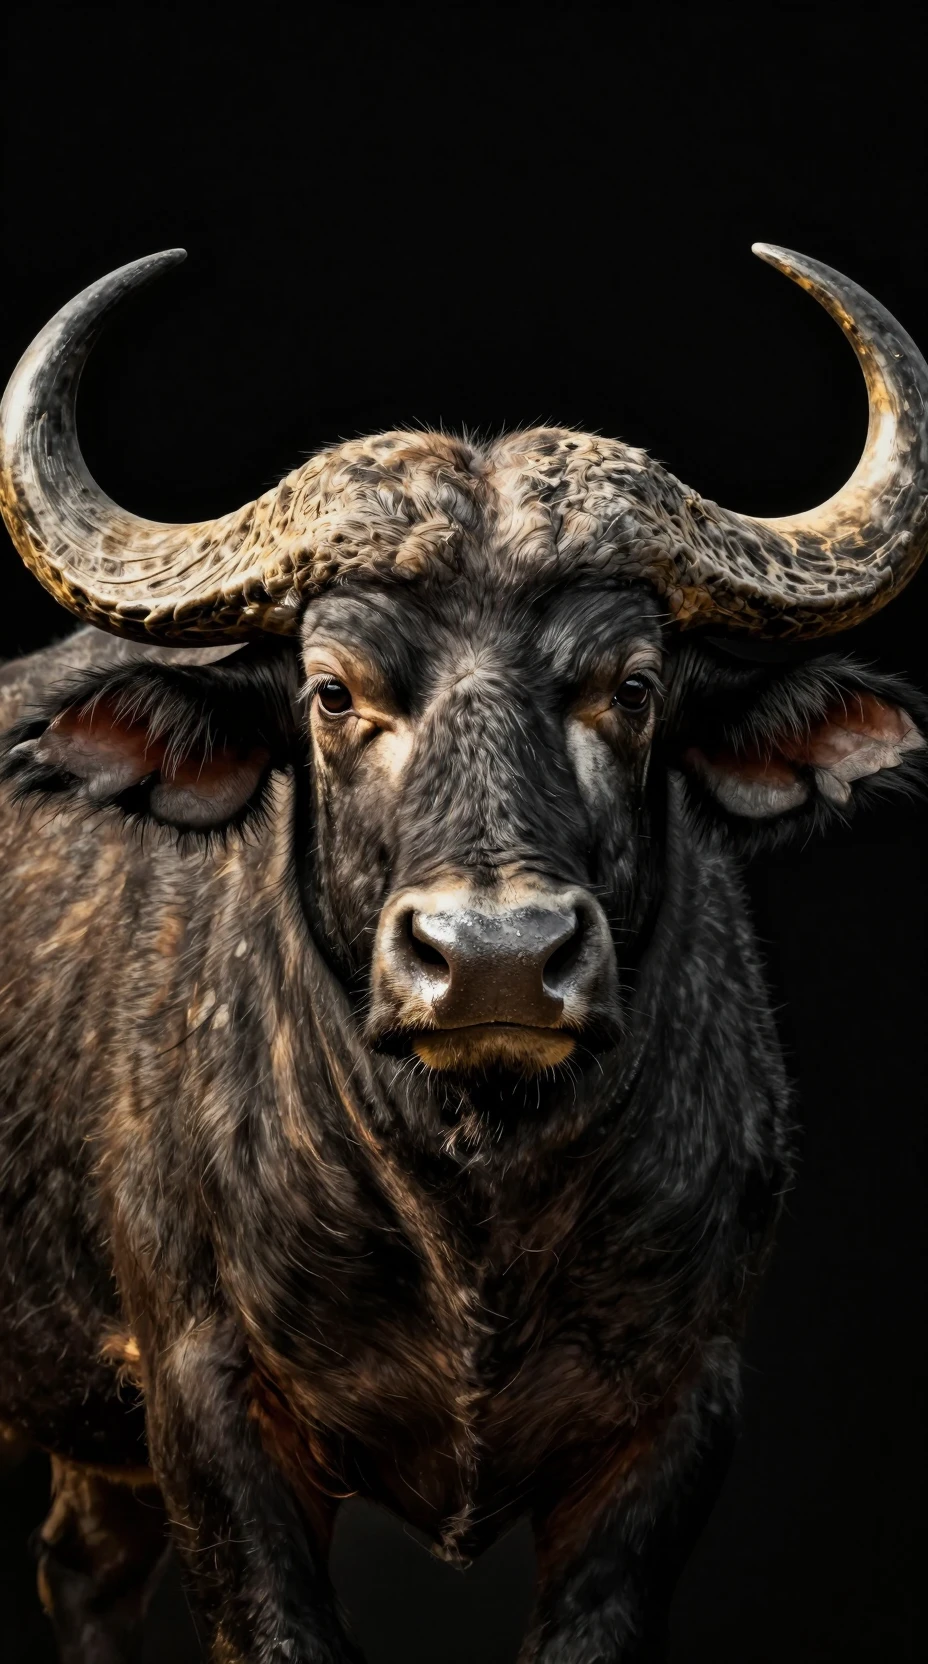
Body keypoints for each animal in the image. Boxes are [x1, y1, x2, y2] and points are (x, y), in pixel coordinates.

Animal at [0, 245, 925, 1663]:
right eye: (333, 691)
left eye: (632, 686)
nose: (495, 955)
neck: (472, 1197)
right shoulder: (209, 1404)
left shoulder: (677, 1413)